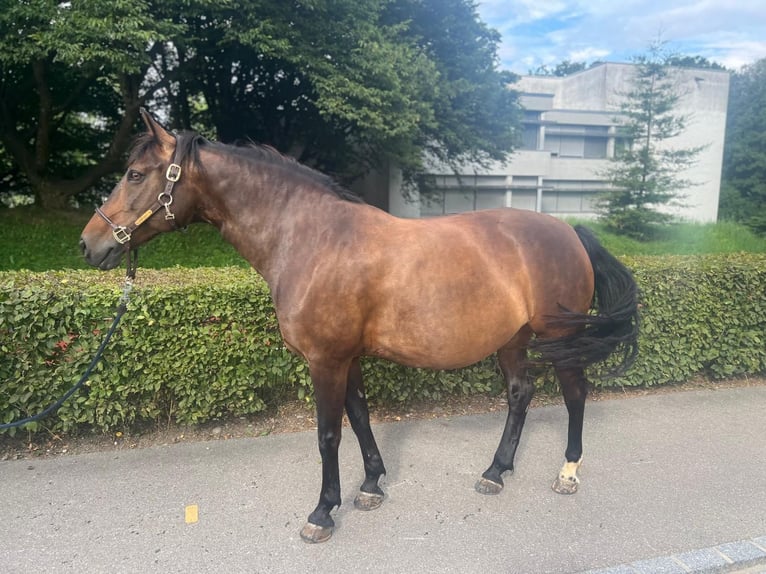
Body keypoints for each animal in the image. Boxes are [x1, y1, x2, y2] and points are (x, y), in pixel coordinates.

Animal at [81, 110, 640, 548]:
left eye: (135, 174)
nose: (89, 244)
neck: (312, 239)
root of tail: (570, 230)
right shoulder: (346, 357)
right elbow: (360, 416)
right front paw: (371, 486)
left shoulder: (325, 360)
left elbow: (329, 434)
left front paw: (322, 512)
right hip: (512, 340)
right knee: (521, 393)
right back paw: (495, 472)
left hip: (559, 338)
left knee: (575, 394)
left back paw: (567, 473)